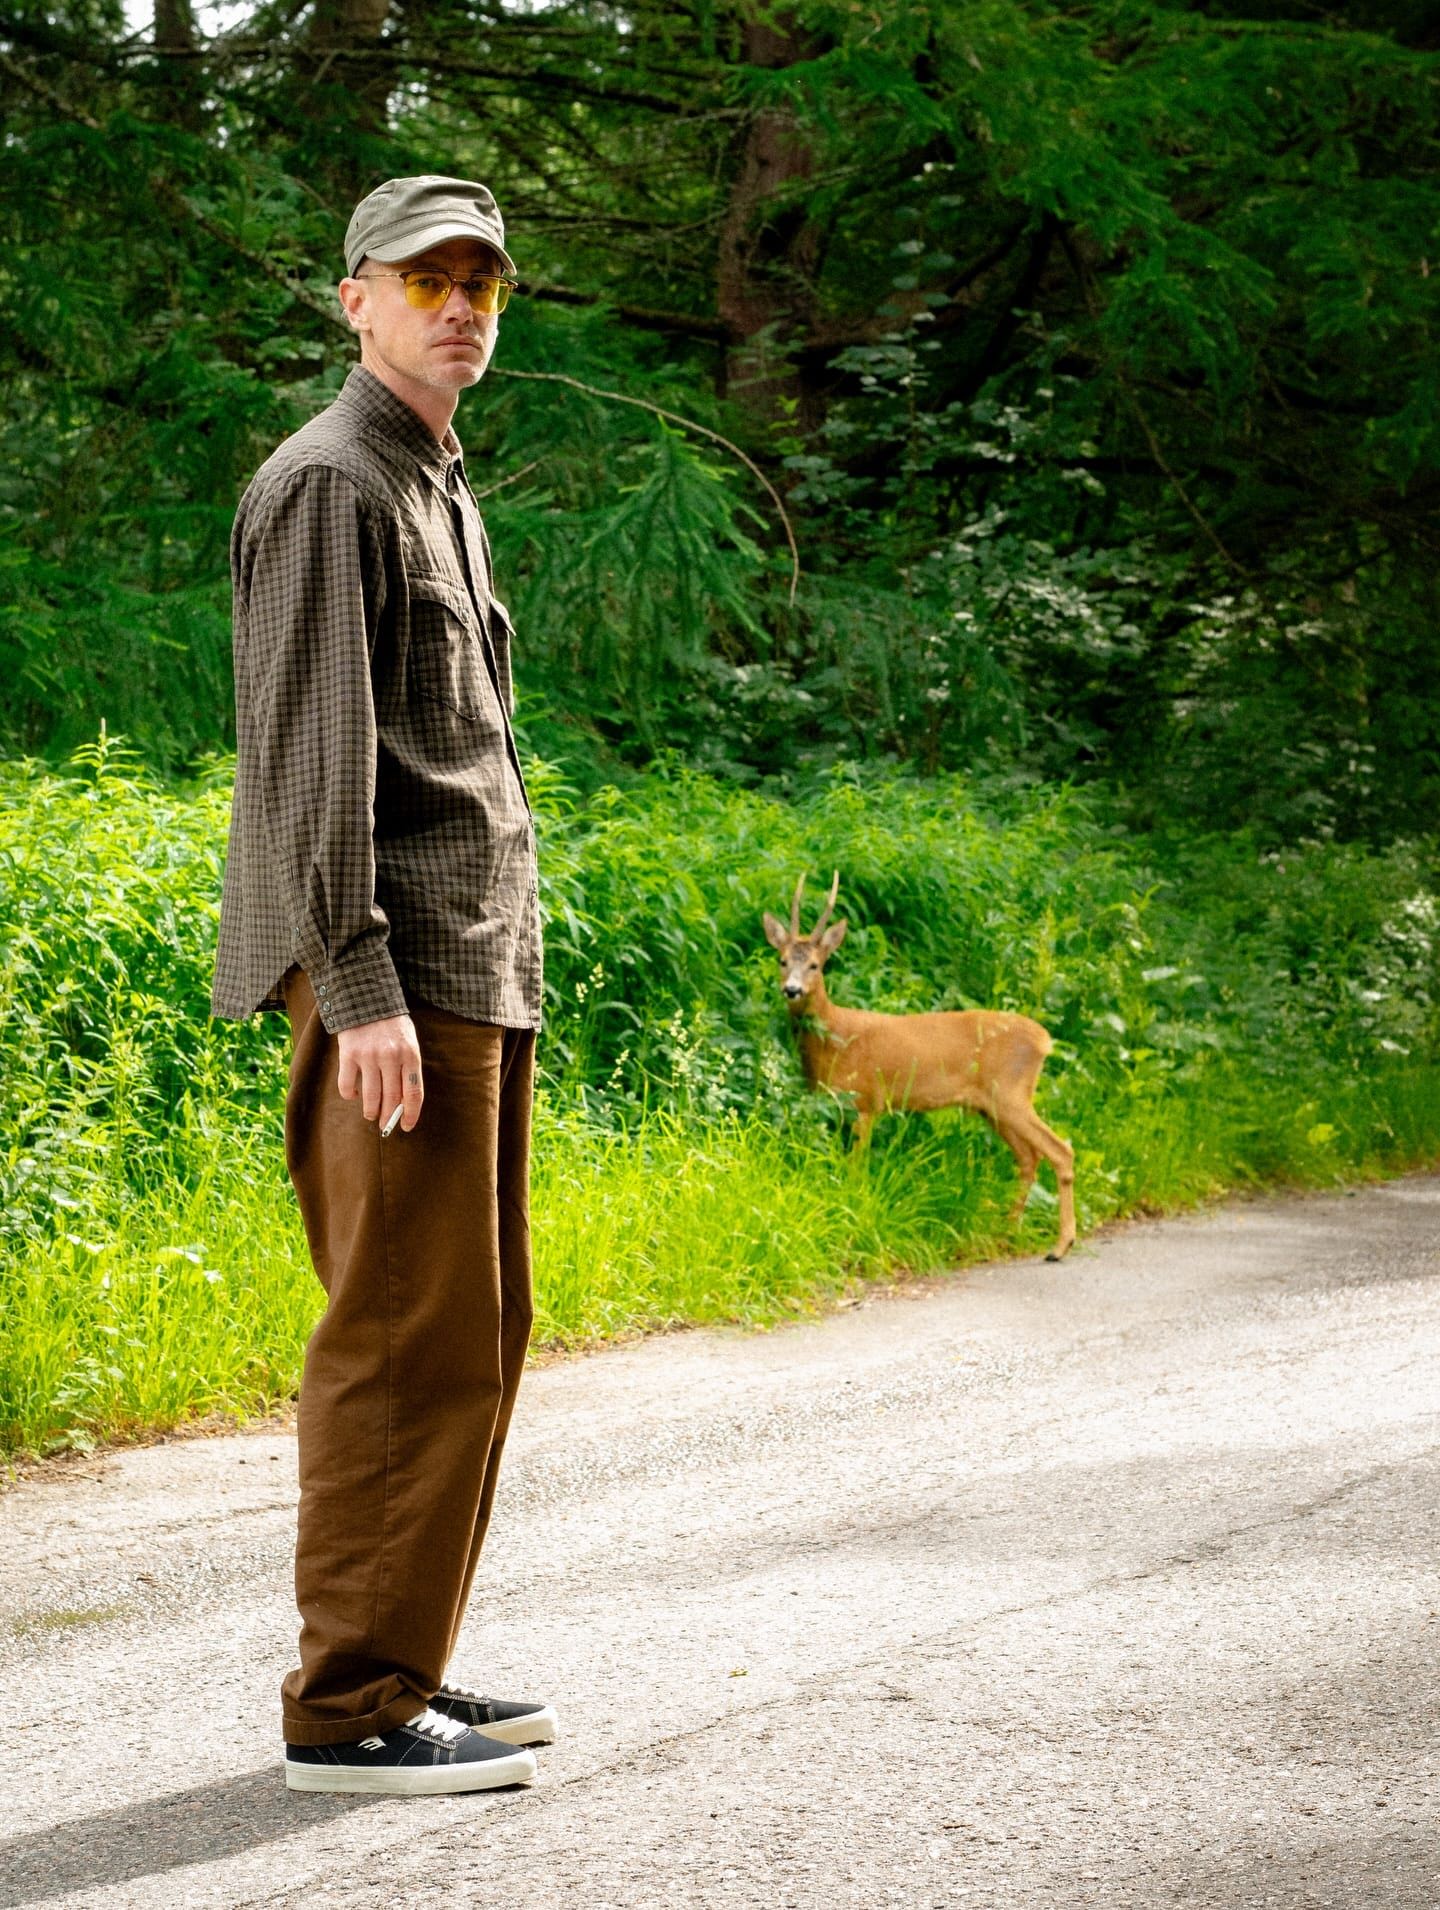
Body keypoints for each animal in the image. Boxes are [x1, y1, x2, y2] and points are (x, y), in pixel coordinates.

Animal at [763, 872, 1077, 1262]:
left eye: (815, 965)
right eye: (782, 960)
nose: (792, 990)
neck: (833, 1038)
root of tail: (1044, 1040)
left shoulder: (866, 1101)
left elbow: (856, 1169)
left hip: (1010, 1093)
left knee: (1060, 1150)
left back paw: (1060, 1245)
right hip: (993, 1105)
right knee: (1029, 1157)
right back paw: (1009, 1229)